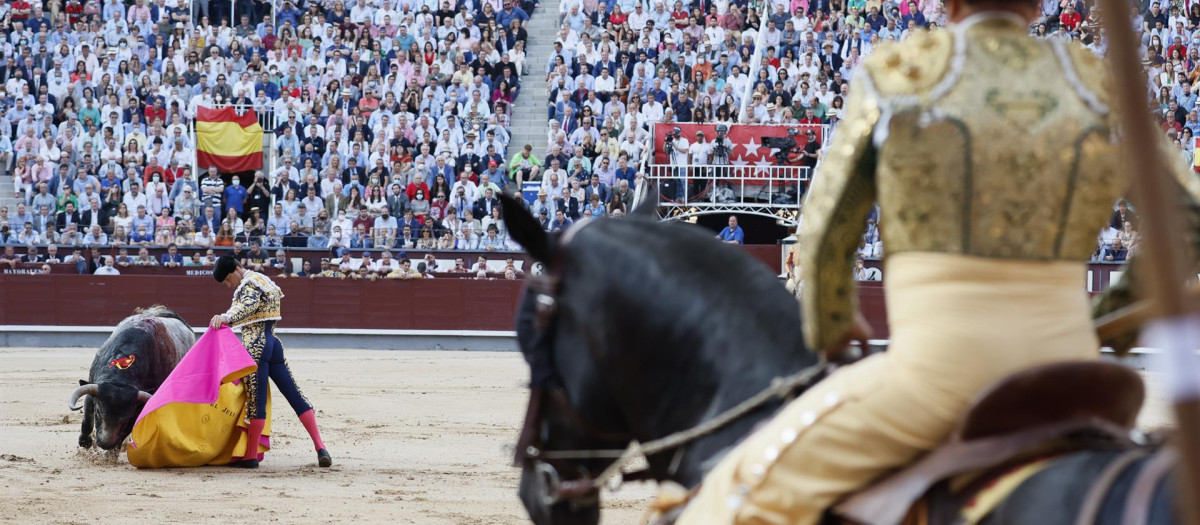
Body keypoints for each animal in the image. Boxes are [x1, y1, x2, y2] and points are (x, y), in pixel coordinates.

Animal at [68, 306, 194, 450]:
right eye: (98, 411)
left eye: (126, 418)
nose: (105, 444)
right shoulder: (92, 390)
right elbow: (87, 421)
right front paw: (85, 442)